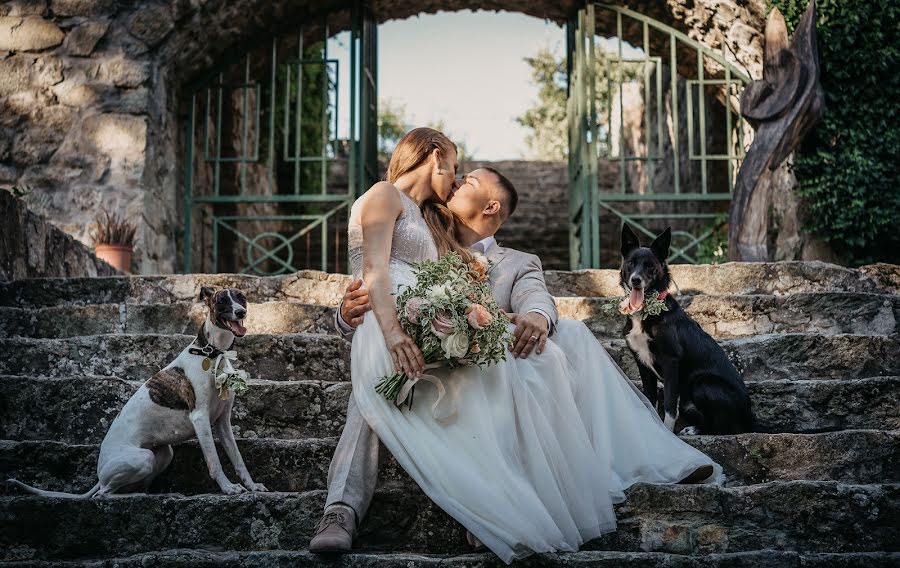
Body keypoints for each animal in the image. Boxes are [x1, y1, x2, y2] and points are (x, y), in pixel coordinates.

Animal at [7, 288, 268, 496]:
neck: (212, 353)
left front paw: (252, 486)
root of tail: (100, 473)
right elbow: (214, 462)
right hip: (143, 458)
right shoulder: (200, 418)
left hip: (163, 454)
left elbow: (238, 459)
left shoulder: (222, 421)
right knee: (103, 494)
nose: (241, 313)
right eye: (222, 301)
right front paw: (229, 488)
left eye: (241, 298)